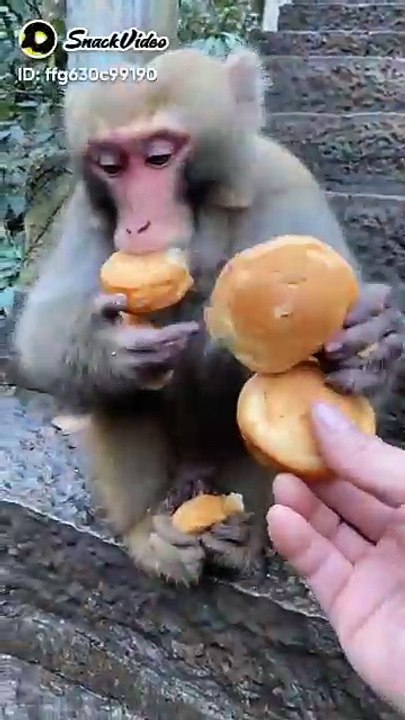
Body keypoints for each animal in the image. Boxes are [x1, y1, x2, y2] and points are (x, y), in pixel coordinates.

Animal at [14, 48, 405, 585]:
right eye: (110, 165)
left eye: (159, 157)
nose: (138, 226)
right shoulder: (87, 215)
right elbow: (42, 332)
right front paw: (110, 346)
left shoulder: (284, 182)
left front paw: (370, 341)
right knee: (121, 395)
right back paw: (152, 532)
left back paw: (240, 538)